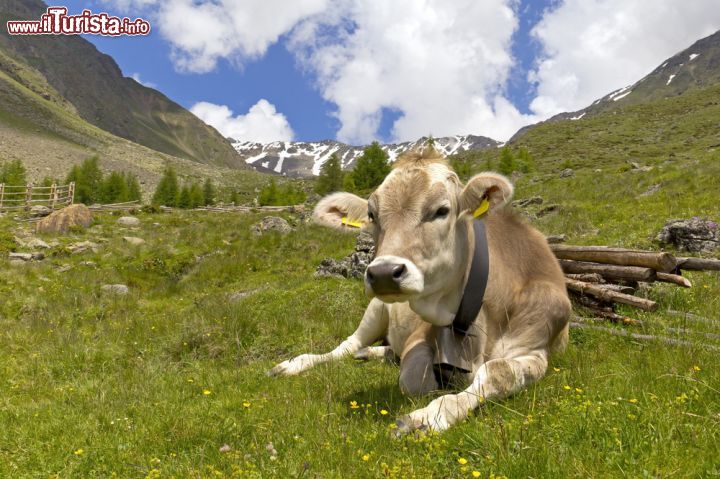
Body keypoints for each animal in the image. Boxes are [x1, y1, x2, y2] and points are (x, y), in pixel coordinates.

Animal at [268, 150, 572, 436]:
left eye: (441, 210)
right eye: (372, 215)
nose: (384, 273)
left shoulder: (536, 349)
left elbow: (497, 372)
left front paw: (432, 415)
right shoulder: (420, 336)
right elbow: (414, 381)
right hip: (375, 310)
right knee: (346, 346)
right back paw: (296, 364)